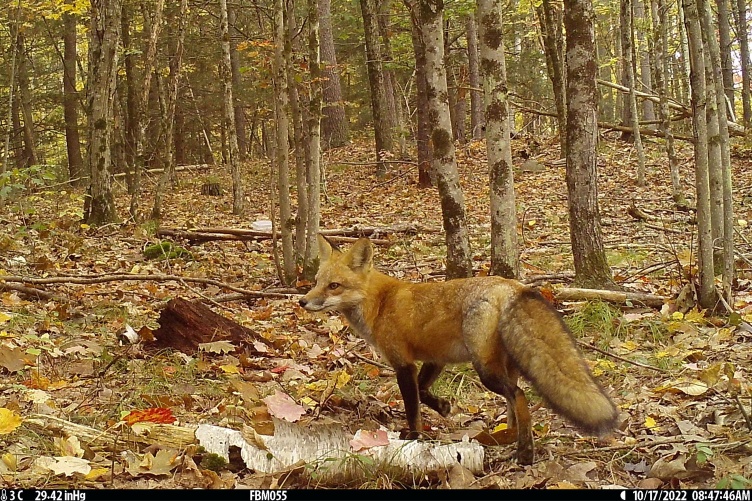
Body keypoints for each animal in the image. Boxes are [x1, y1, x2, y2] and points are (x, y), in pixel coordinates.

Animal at [296, 236, 620, 462]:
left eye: (334, 286)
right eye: (316, 282)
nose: (302, 301)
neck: (381, 304)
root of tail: (512, 285)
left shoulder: (403, 364)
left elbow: (413, 409)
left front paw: (414, 438)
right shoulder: (435, 359)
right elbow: (424, 392)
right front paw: (443, 407)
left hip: (486, 369)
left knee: (519, 396)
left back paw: (525, 453)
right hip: (505, 366)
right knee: (513, 402)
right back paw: (509, 437)